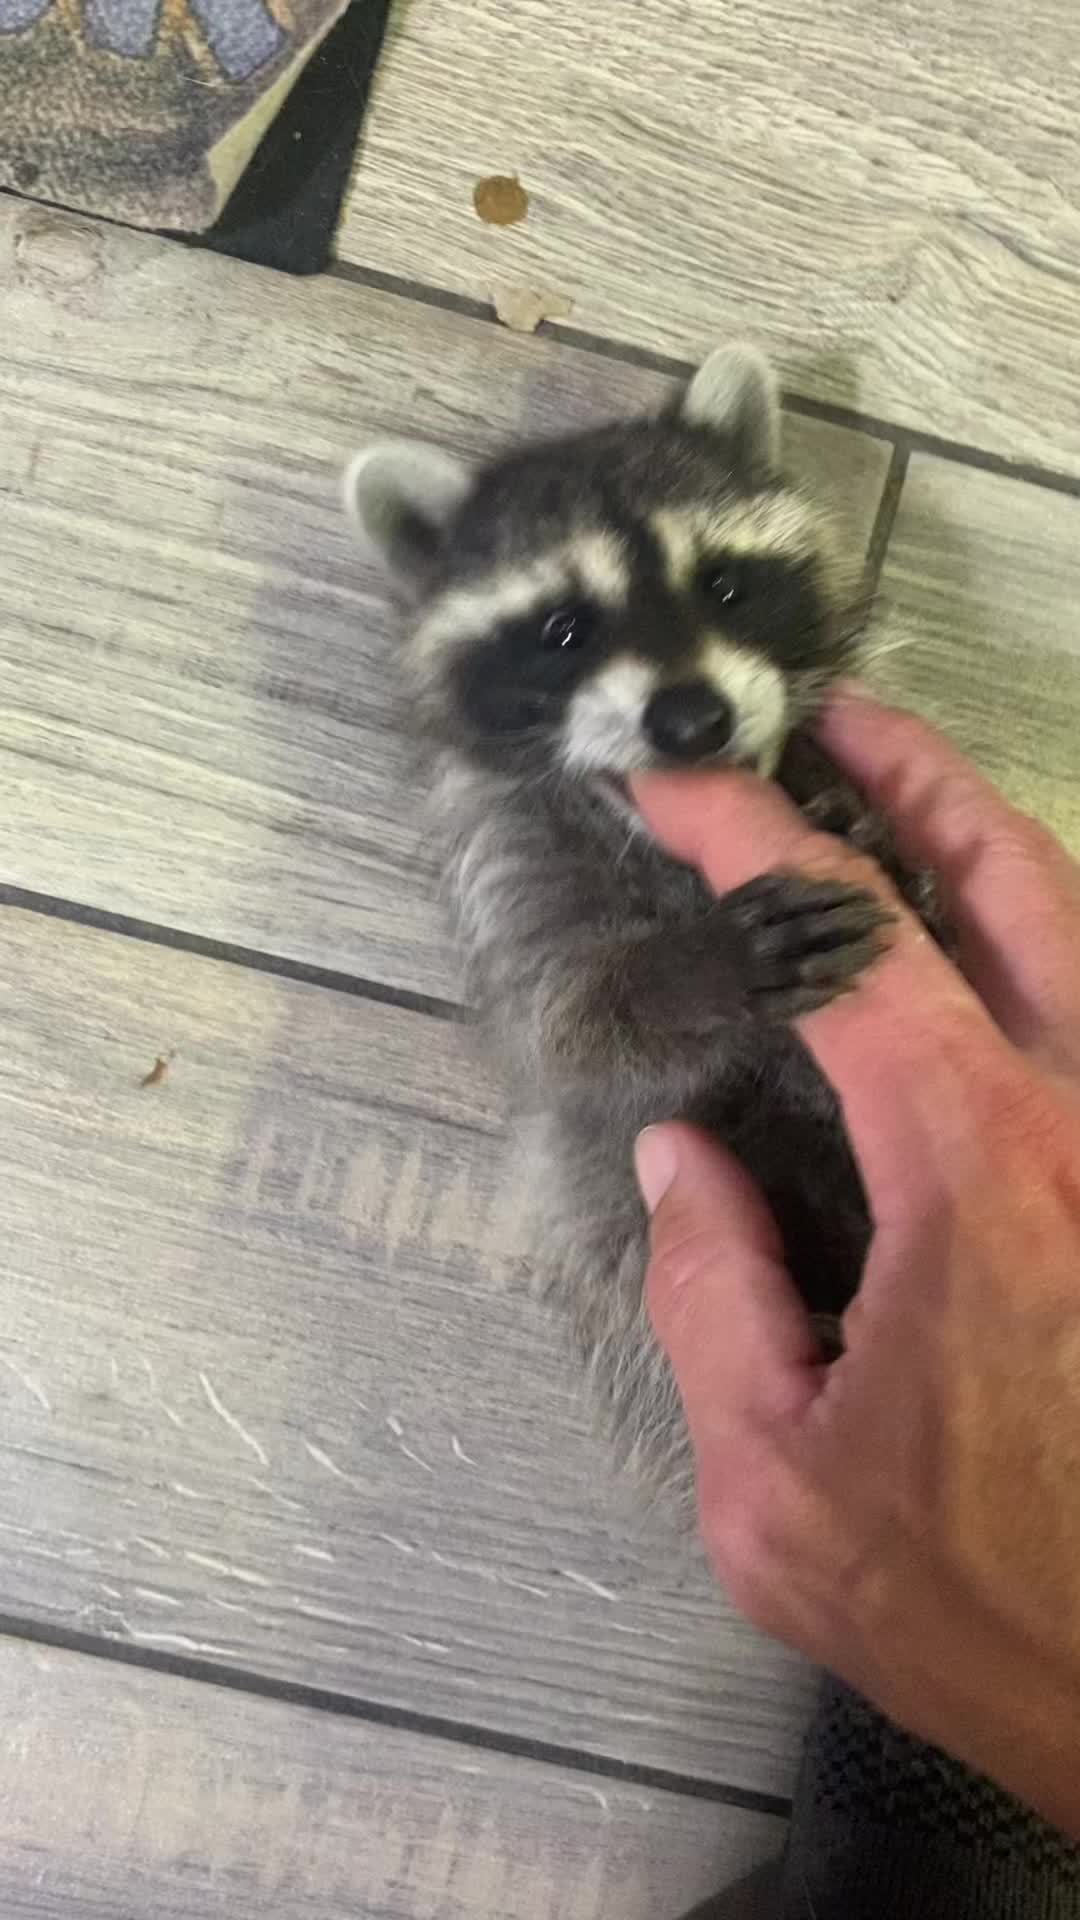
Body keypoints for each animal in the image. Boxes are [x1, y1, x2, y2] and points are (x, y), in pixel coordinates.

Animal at [344, 345, 940, 1506]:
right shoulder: (518, 888)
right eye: (563, 630)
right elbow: (566, 1040)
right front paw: (685, 976)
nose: (693, 721)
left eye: (724, 584)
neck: (663, 855)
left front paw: (862, 822)